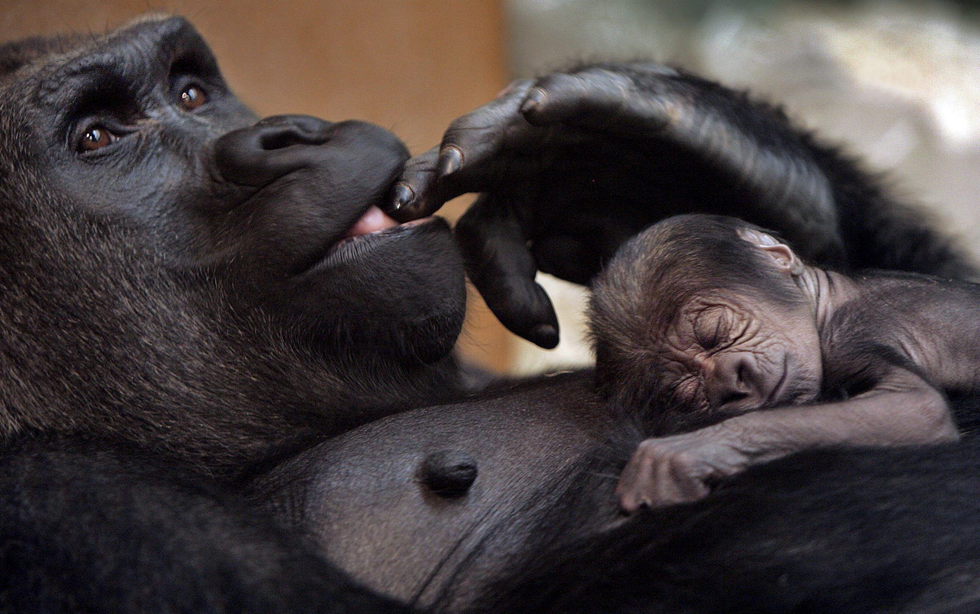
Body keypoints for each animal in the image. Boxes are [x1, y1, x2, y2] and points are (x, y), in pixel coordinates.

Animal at [592, 214, 976, 512]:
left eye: (714, 331)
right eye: (689, 390)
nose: (732, 378)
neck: (826, 304)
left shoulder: (849, 336)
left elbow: (915, 405)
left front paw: (690, 451)